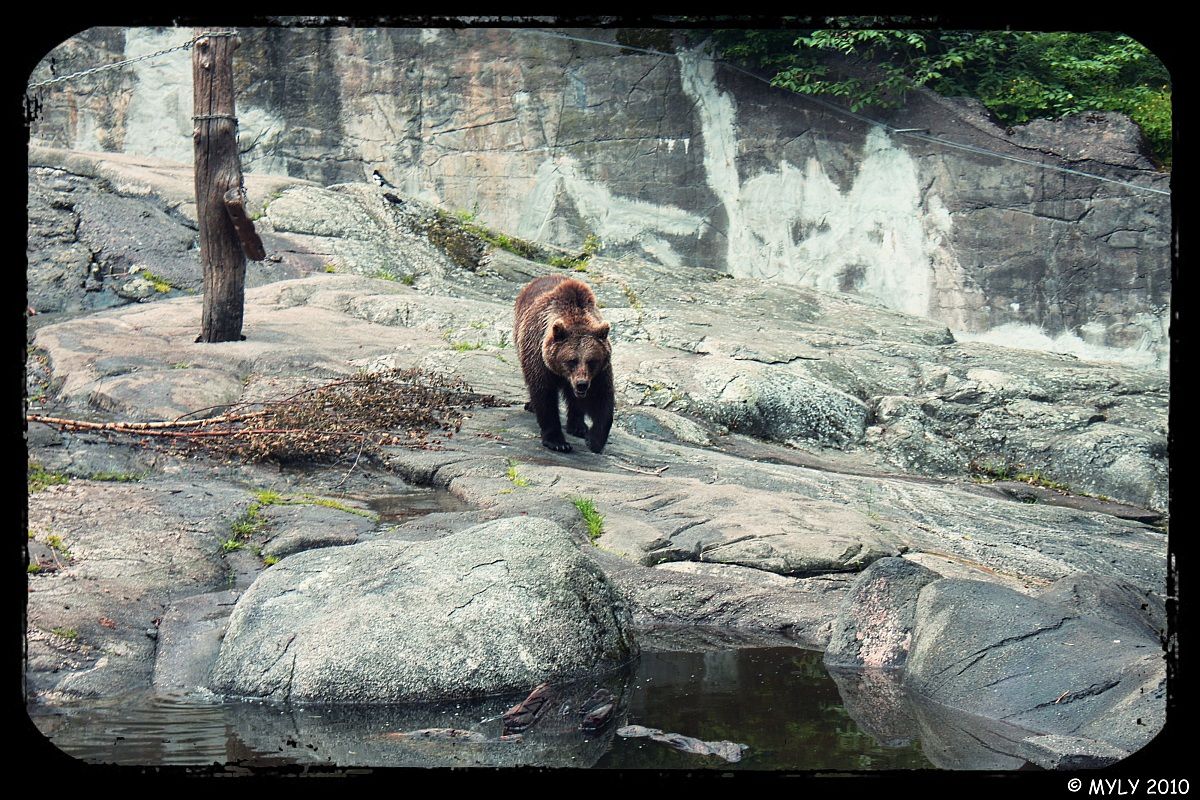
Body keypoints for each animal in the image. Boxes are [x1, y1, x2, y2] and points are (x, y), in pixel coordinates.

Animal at [514, 274, 614, 454]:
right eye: (571, 360)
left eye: (592, 361)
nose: (582, 384)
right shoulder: (539, 359)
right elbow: (544, 395)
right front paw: (558, 442)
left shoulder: (600, 372)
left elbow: (602, 398)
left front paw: (594, 440)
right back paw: (532, 406)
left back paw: (579, 426)